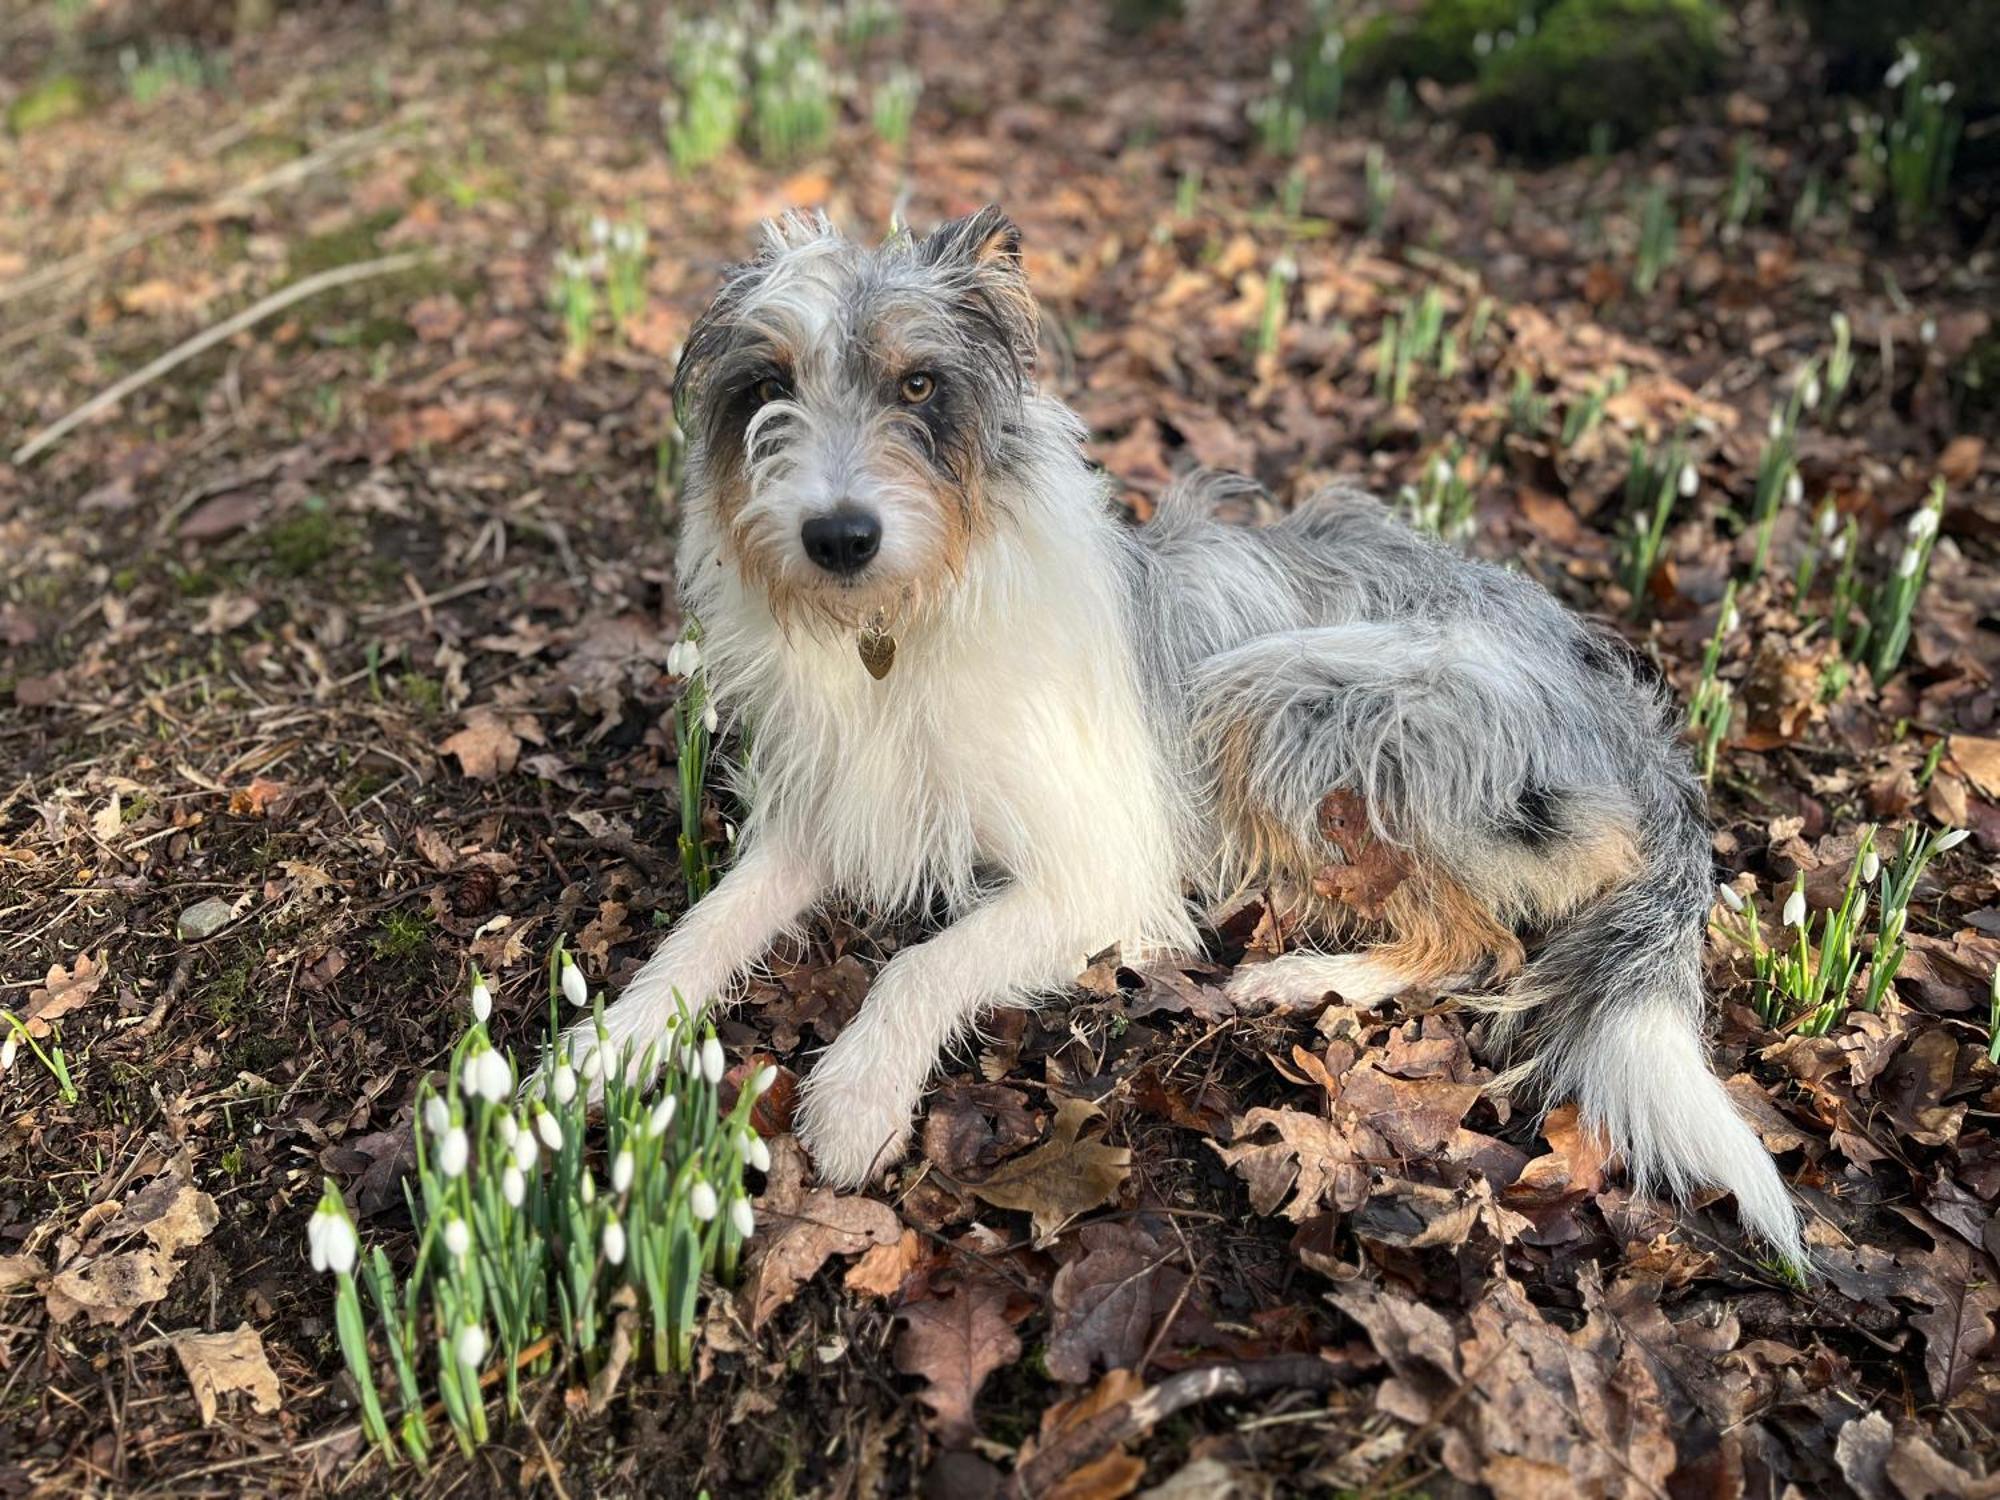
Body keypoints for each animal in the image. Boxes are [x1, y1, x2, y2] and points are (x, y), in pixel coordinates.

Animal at [572, 209, 1808, 1272]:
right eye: (767, 386)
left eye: (917, 383)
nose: (837, 537)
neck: (902, 625)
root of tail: (1637, 722)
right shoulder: (822, 819)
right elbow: (701, 929)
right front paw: (605, 1047)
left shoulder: (1099, 875)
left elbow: (924, 963)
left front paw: (857, 1095)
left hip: (1287, 689)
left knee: (1479, 942)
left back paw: (1294, 976)